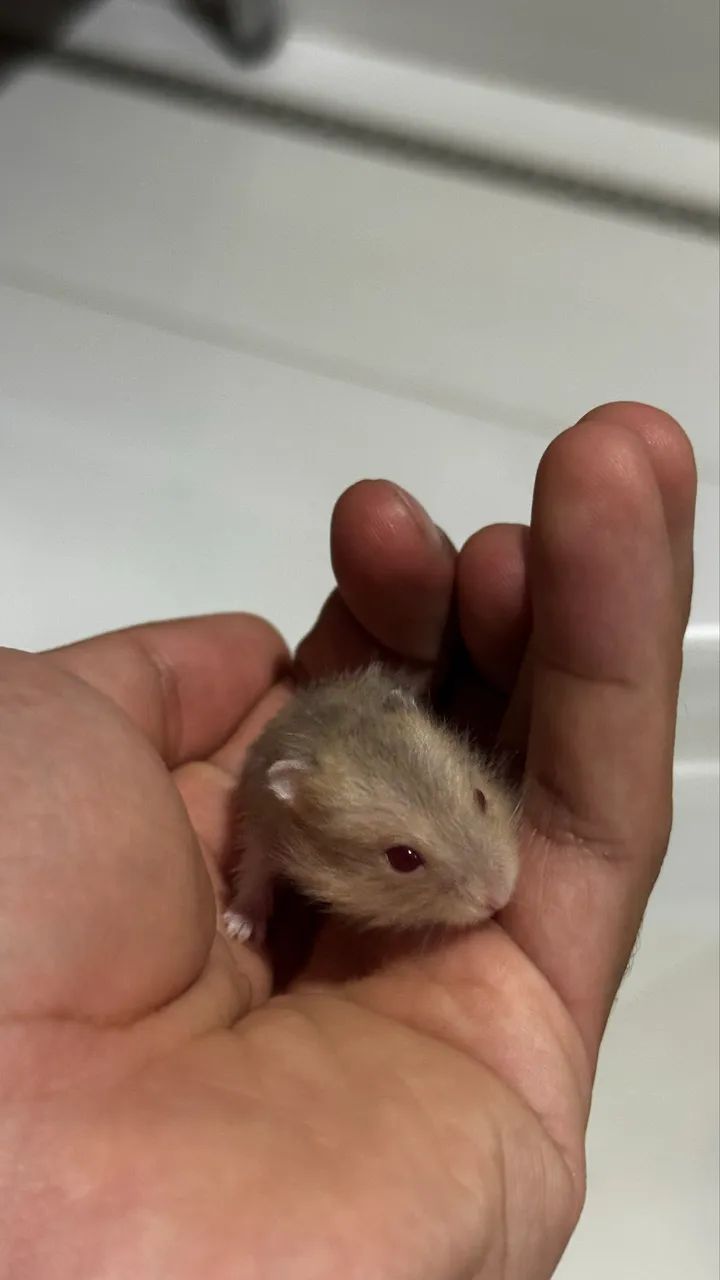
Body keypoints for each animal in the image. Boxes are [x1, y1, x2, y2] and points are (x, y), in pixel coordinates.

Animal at [225, 664, 520, 942]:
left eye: (480, 797)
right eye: (403, 858)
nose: (501, 897)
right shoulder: (262, 826)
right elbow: (253, 870)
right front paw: (238, 930)